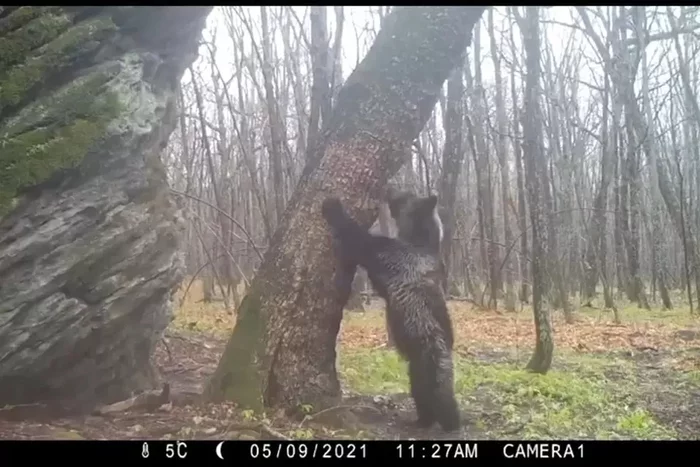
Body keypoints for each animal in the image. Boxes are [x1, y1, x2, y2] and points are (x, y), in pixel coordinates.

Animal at [320, 188, 462, 434]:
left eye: (406, 197)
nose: (390, 191)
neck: (419, 241)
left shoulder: (393, 257)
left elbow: (360, 240)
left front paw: (332, 205)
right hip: (417, 365)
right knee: (420, 392)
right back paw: (422, 419)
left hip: (430, 355)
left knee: (439, 393)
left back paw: (450, 422)